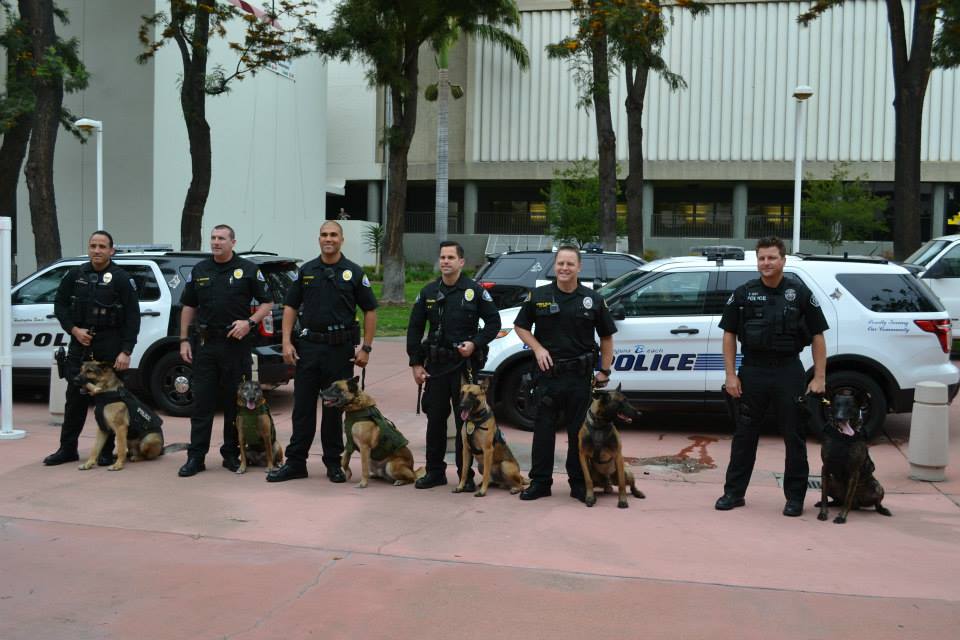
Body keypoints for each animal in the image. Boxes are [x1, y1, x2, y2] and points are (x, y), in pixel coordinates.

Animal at [816, 392, 892, 524]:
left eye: (850, 406)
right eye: (836, 405)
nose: (840, 418)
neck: (842, 437)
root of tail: (857, 505)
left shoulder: (854, 472)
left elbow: (848, 499)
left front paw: (842, 517)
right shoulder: (825, 468)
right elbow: (824, 495)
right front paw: (823, 512)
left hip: (877, 487)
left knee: (875, 503)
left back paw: (883, 510)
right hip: (831, 482)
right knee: (836, 501)